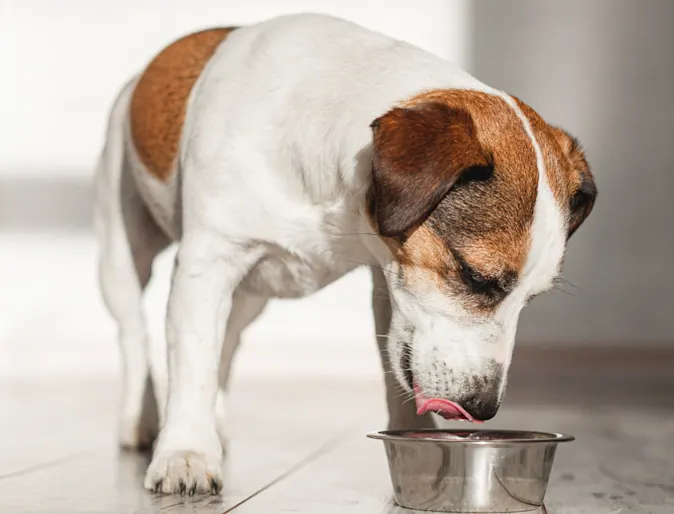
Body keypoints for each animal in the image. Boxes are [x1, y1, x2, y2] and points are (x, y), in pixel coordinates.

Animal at [93, 12, 592, 492]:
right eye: (474, 276)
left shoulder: (385, 279)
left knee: (228, 338)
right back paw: (140, 420)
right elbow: (191, 361)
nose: (483, 407)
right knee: (134, 331)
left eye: (532, 299)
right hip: (123, 251)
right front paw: (186, 452)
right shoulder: (208, 263)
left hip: (252, 295)